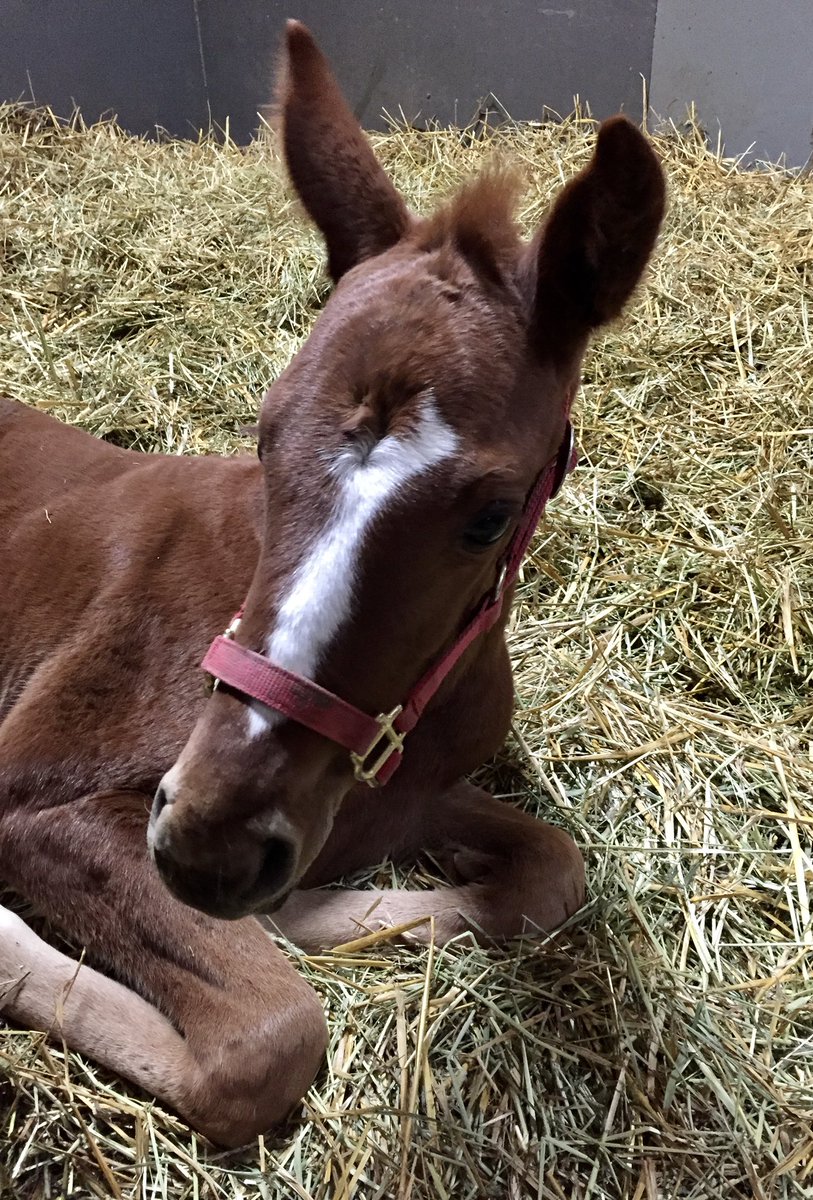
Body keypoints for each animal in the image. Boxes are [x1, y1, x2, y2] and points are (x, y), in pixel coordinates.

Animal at [0, 21, 665, 1146]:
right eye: (266, 433)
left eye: (490, 514)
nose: (211, 846)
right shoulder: (37, 801)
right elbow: (267, 1040)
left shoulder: (407, 794)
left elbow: (550, 874)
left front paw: (318, 910)